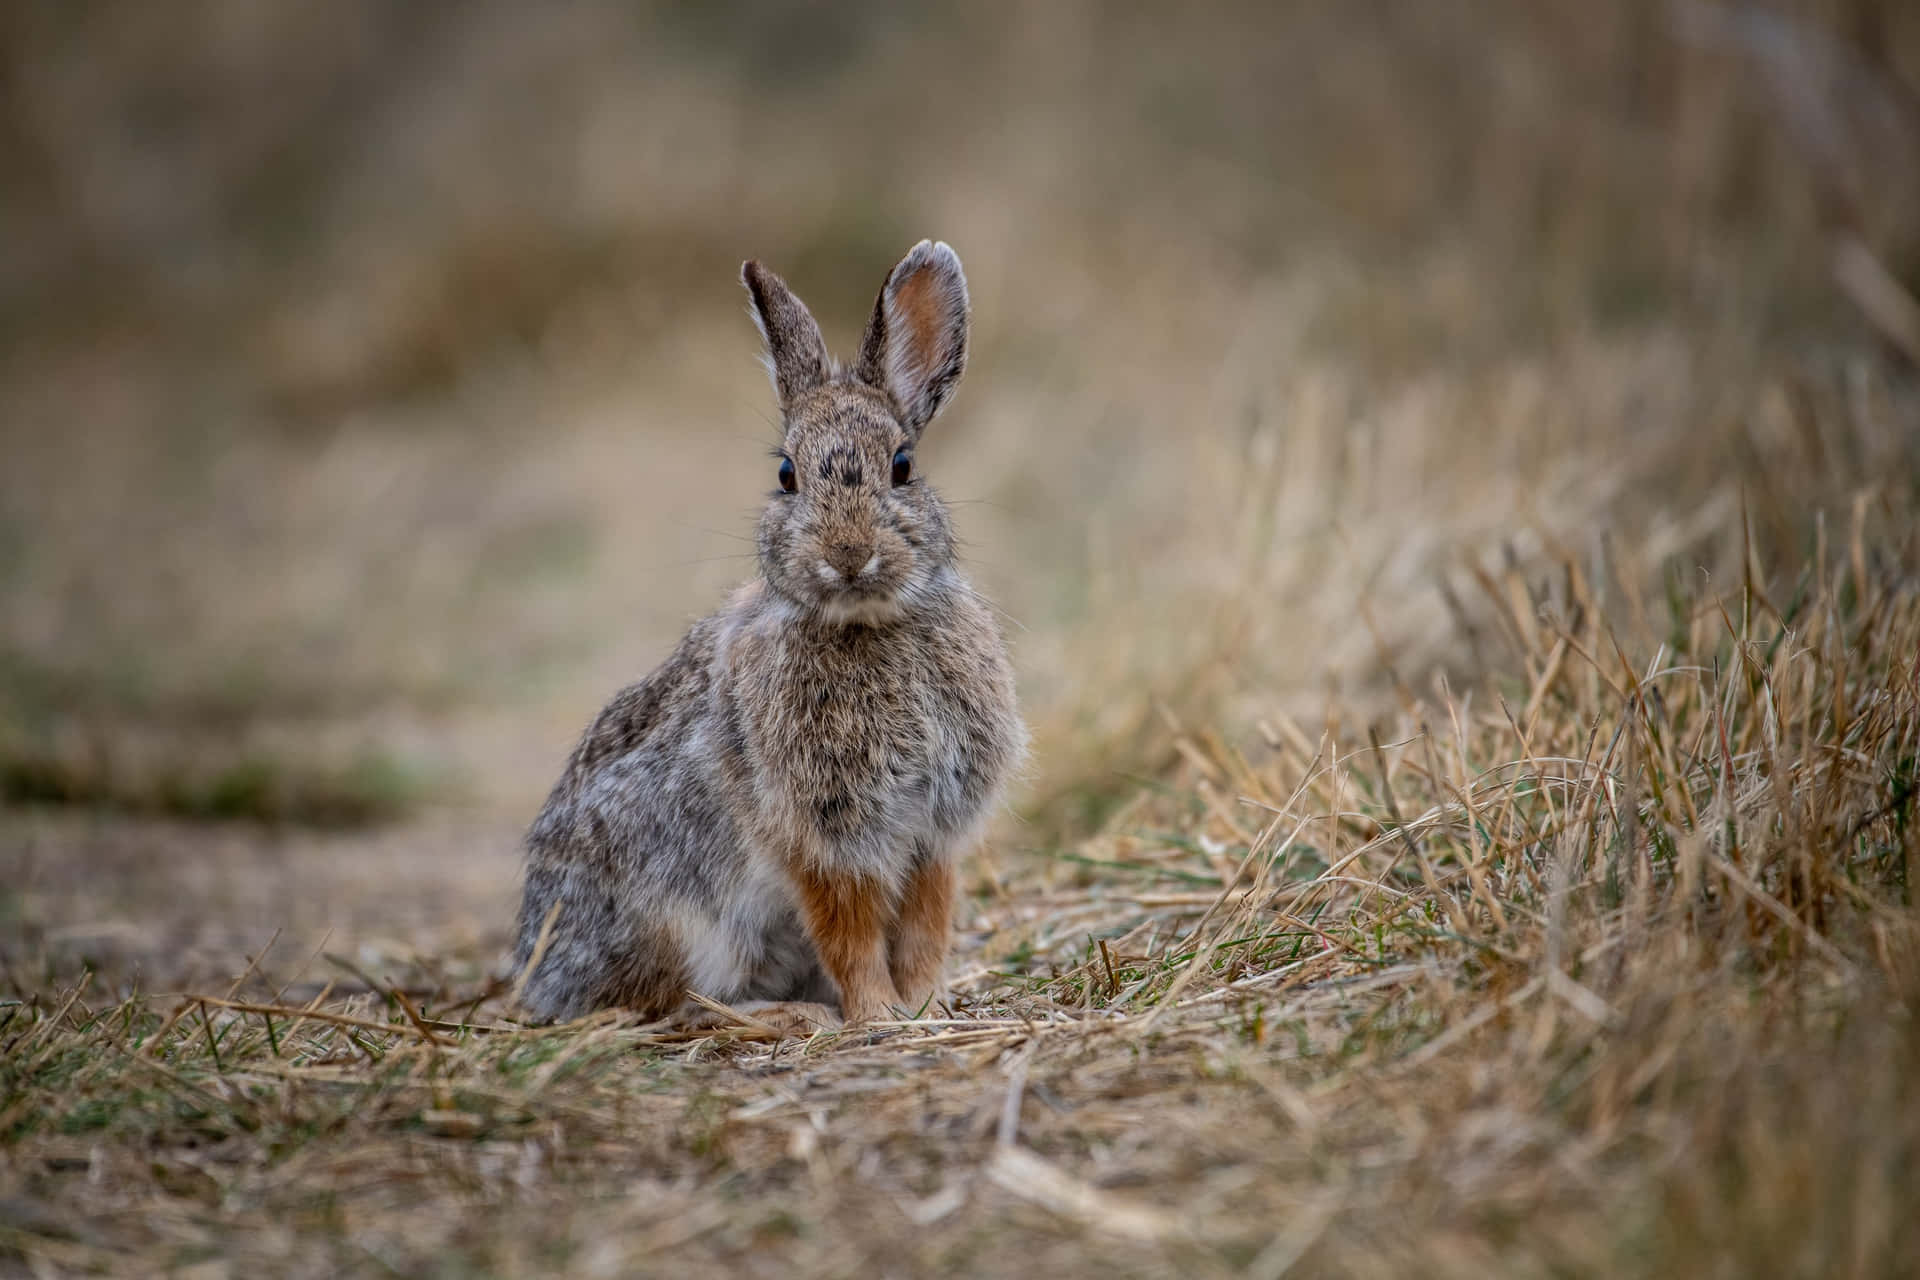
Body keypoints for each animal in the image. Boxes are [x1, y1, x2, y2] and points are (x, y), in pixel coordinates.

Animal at [506, 239, 1021, 1028]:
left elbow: (925, 926)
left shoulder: (931, 834)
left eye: (903, 466)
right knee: (665, 1004)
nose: (848, 554)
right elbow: (851, 934)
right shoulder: (822, 835)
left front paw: (929, 1005)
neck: (867, 623)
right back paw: (784, 1016)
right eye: (786, 475)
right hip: (676, 919)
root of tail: (539, 973)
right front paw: (878, 1015)